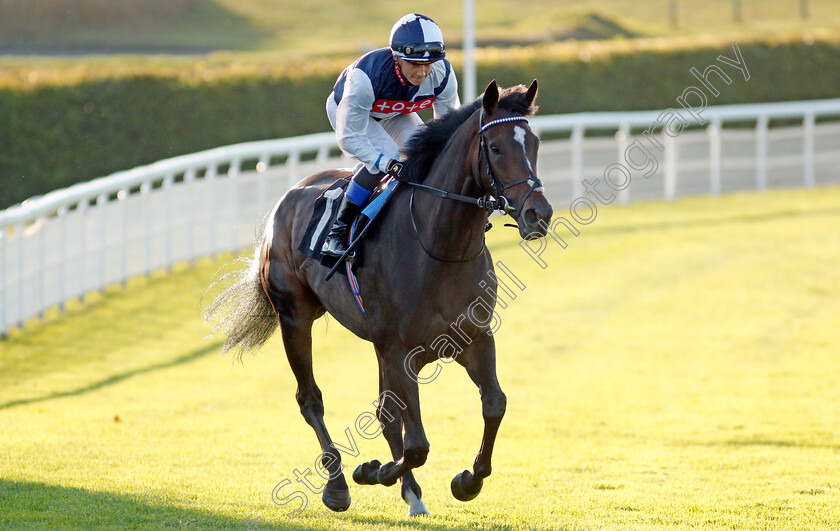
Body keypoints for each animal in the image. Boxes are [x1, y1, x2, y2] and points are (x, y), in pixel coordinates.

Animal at [205, 80, 552, 520]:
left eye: (535, 142)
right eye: (495, 147)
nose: (538, 214)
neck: (440, 246)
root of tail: (290, 196)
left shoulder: (473, 339)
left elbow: (493, 405)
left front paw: (467, 481)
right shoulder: (400, 350)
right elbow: (416, 443)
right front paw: (373, 471)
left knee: (385, 415)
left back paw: (411, 493)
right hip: (296, 318)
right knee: (311, 400)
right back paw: (338, 485)